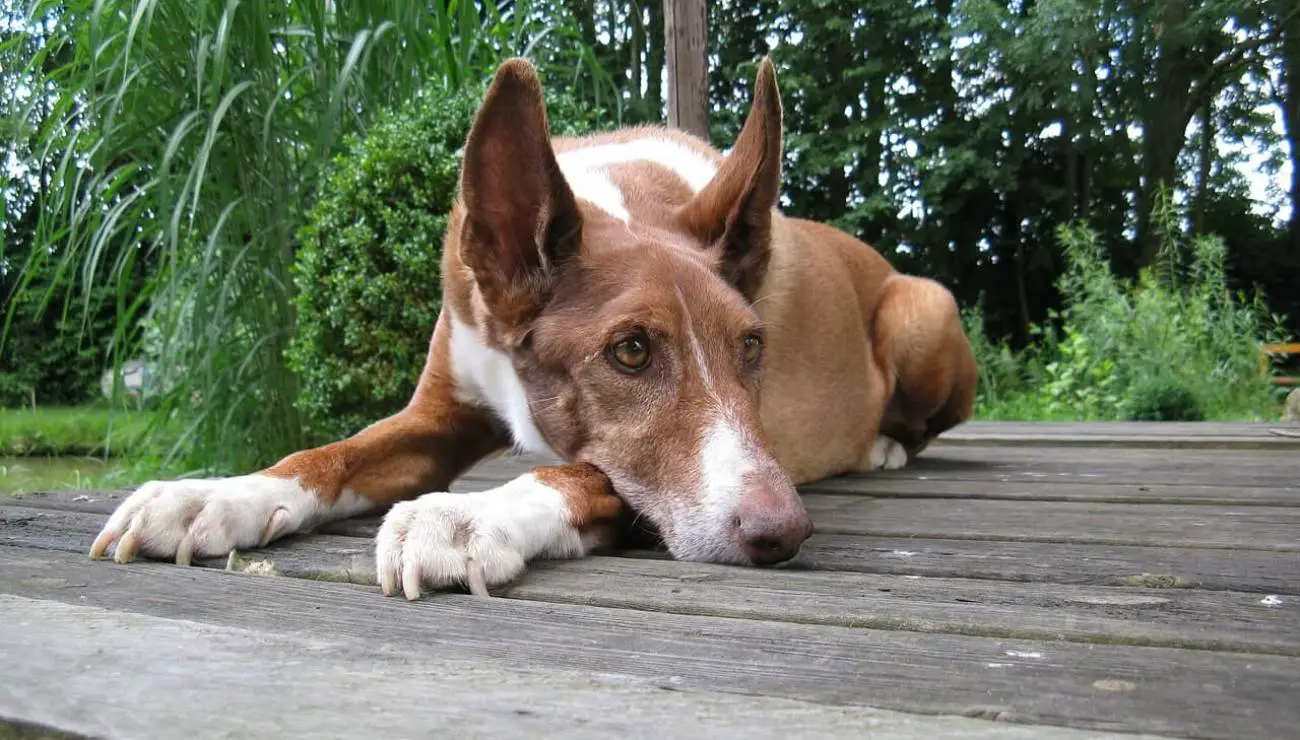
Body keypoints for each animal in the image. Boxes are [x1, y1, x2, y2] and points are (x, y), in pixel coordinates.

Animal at [89, 57, 977, 600]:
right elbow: (328, 454)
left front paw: (465, 517)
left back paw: (884, 446)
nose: (782, 531)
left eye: (753, 347)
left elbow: (585, 471)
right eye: (630, 350)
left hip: (925, 308)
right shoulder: (438, 412)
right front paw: (212, 495)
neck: (622, 195)